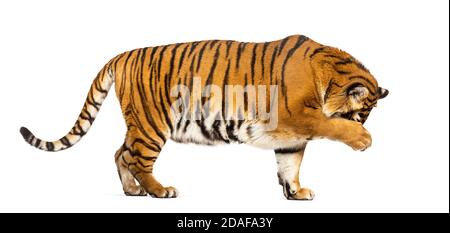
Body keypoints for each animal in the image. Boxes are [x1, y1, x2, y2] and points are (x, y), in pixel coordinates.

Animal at [21, 34, 386, 200]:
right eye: (358, 117)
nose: (362, 128)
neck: (326, 76)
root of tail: (122, 55)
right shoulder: (295, 115)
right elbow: (329, 124)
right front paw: (362, 139)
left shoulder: (289, 136)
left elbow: (289, 164)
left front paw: (295, 193)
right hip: (152, 123)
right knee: (136, 158)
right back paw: (159, 190)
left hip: (139, 122)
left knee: (119, 153)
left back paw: (132, 190)